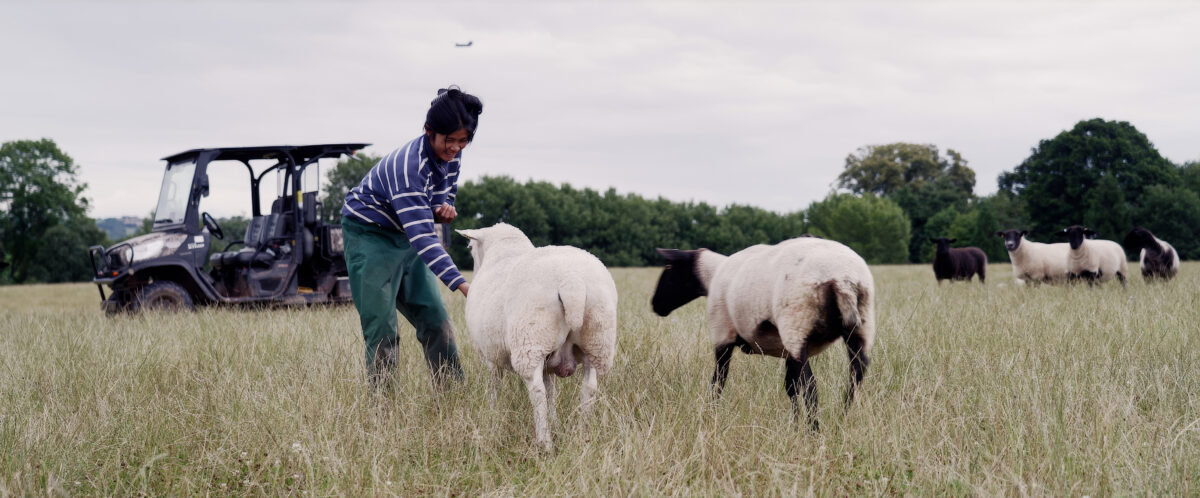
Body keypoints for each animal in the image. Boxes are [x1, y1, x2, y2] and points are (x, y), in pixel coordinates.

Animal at [456, 223, 618, 452]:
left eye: (469, 247)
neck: (506, 249)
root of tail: (572, 281)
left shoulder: (492, 356)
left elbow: (495, 387)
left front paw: (492, 416)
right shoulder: (549, 360)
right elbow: (551, 391)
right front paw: (555, 421)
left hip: (530, 341)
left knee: (537, 392)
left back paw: (544, 442)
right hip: (597, 340)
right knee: (589, 388)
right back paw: (582, 438)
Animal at [651, 237, 875, 430]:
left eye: (669, 267)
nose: (655, 305)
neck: (712, 275)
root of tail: (844, 279)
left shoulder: (722, 333)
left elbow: (718, 382)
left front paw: (710, 415)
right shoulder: (787, 352)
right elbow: (791, 388)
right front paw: (794, 427)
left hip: (796, 325)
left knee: (811, 386)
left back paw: (815, 431)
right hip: (860, 327)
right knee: (856, 376)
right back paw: (841, 420)